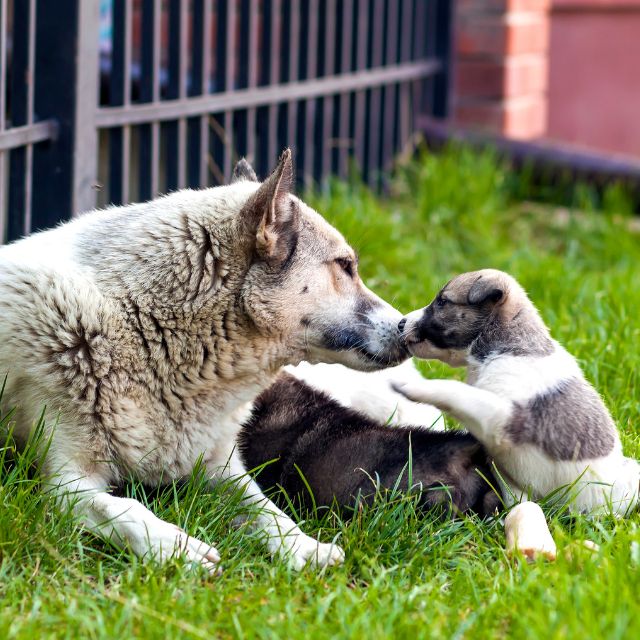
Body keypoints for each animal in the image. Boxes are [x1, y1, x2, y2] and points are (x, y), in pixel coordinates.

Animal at [0, 152, 408, 572]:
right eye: (345, 266)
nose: (408, 328)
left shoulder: (219, 468)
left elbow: (266, 508)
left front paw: (303, 547)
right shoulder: (65, 484)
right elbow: (126, 509)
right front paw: (174, 546)